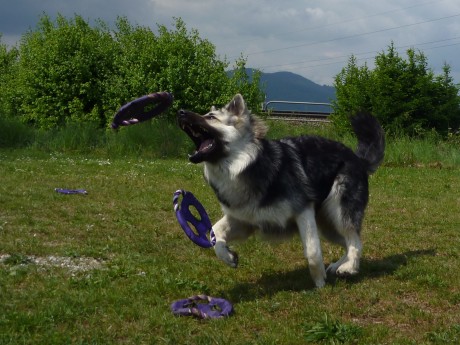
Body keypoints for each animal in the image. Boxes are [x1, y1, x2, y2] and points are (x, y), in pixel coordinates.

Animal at [178, 94, 386, 288]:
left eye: (211, 117)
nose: (180, 111)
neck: (243, 164)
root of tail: (358, 159)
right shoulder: (243, 219)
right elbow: (214, 233)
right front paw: (228, 257)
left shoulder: (303, 212)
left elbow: (312, 251)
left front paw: (319, 283)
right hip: (327, 223)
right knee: (349, 242)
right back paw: (339, 265)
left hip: (338, 212)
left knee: (354, 240)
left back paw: (349, 267)